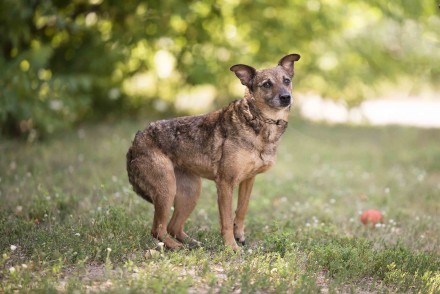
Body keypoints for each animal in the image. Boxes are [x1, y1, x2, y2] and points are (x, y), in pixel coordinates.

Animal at [125, 54, 300, 252]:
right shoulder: (225, 183)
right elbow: (226, 220)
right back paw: (178, 247)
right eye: (267, 84)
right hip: (166, 189)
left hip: (190, 192)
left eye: (286, 81)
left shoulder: (248, 180)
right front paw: (231, 247)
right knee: (158, 229)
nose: (286, 97)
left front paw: (239, 235)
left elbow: (242, 209)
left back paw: (193, 244)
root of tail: (136, 142)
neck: (260, 120)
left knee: (173, 226)